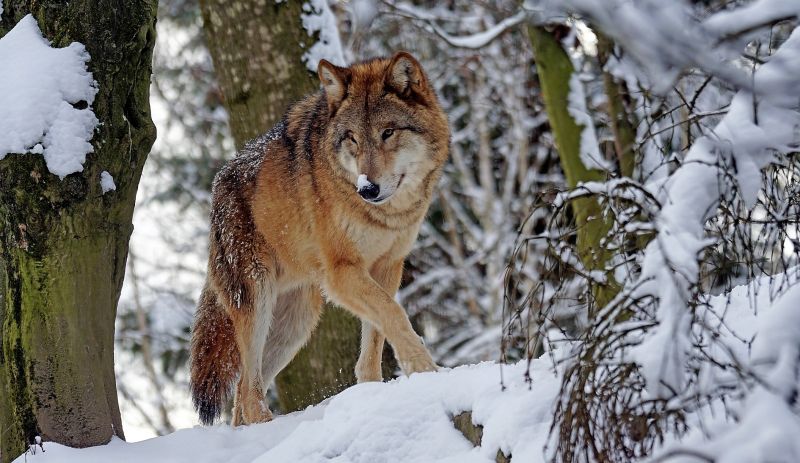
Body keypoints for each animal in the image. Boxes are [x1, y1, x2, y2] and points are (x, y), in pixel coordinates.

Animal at [188, 52, 450, 426]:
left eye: (388, 132)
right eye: (352, 137)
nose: (367, 189)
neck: (385, 215)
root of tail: (217, 186)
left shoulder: (388, 267)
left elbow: (377, 334)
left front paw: (373, 391)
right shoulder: (342, 272)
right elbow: (395, 314)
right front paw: (425, 370)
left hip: (296, 323)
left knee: (241, 395)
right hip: (258, 302)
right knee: (248, 391)